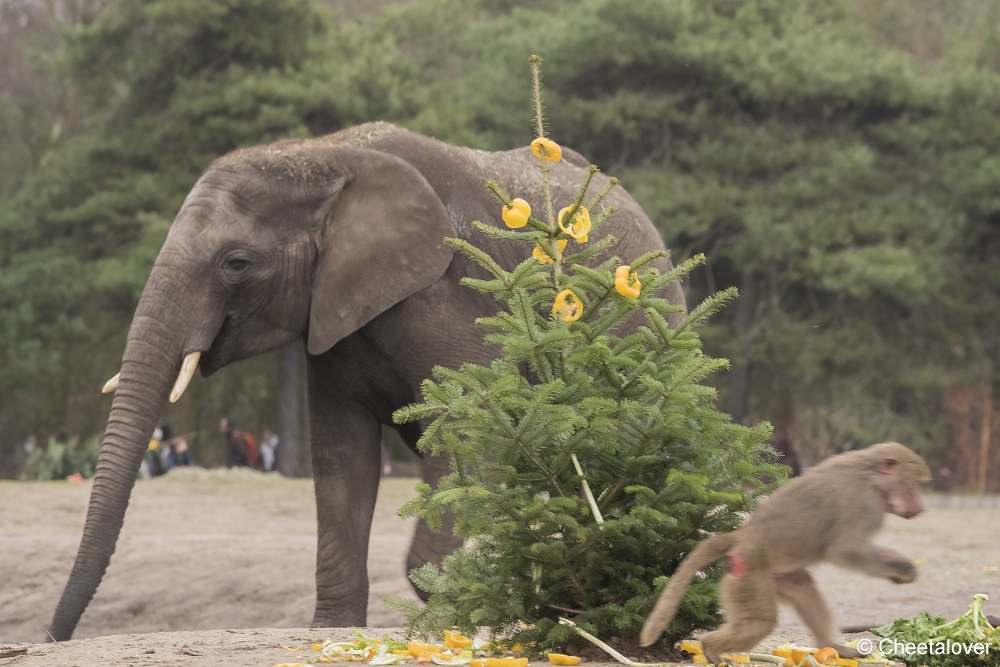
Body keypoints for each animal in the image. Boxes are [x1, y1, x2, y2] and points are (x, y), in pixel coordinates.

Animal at [48, 121, 688, 640]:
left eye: (236, 264)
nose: (54, 636)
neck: (323, 156)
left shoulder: (449, 299)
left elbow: (464, 437)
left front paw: (455, 605)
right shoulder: (331, 315)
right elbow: (340, 457)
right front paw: (332, 629)